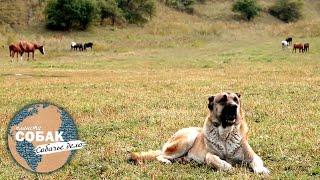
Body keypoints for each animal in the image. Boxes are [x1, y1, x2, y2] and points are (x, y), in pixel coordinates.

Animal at [129, 92, 268, 174]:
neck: (225, 134)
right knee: (160, 156)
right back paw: (167, 161)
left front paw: (261, 170)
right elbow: (213, 159)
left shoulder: (252, 156)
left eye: (235, 100)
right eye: (222, 100)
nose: (234, 107)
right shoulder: (209, 155)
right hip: (189, 138)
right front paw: (227, 166)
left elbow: (256, 161)